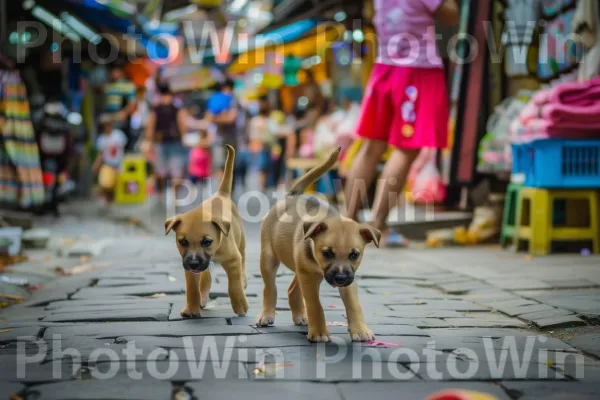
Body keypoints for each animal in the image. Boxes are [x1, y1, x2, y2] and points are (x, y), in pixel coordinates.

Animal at [163, 145, 247, 318]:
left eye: (207, 241)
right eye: (183, 242)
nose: (194, 263)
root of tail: (221, 194)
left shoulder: (233, 260)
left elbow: (234, 286)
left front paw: (240, 305)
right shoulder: (189, 268)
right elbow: (192, 289)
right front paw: (191, 308)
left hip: (241, 243)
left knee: (243, 261)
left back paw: (243, 281)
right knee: (206, 276)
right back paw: (202, 297)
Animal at [256, 148, 380, 342]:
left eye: (354, 254)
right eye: (327, 253)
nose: (340, 279)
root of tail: (291, 196)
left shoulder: (347, 279)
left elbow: (354, 305)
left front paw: (360, 329)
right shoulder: (308, 278)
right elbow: (315, 305)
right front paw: (320, 333)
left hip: (300, 268)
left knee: (292, 290)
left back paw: (300, 316)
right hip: (269, 259)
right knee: (270, 288)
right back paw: (267, 315)